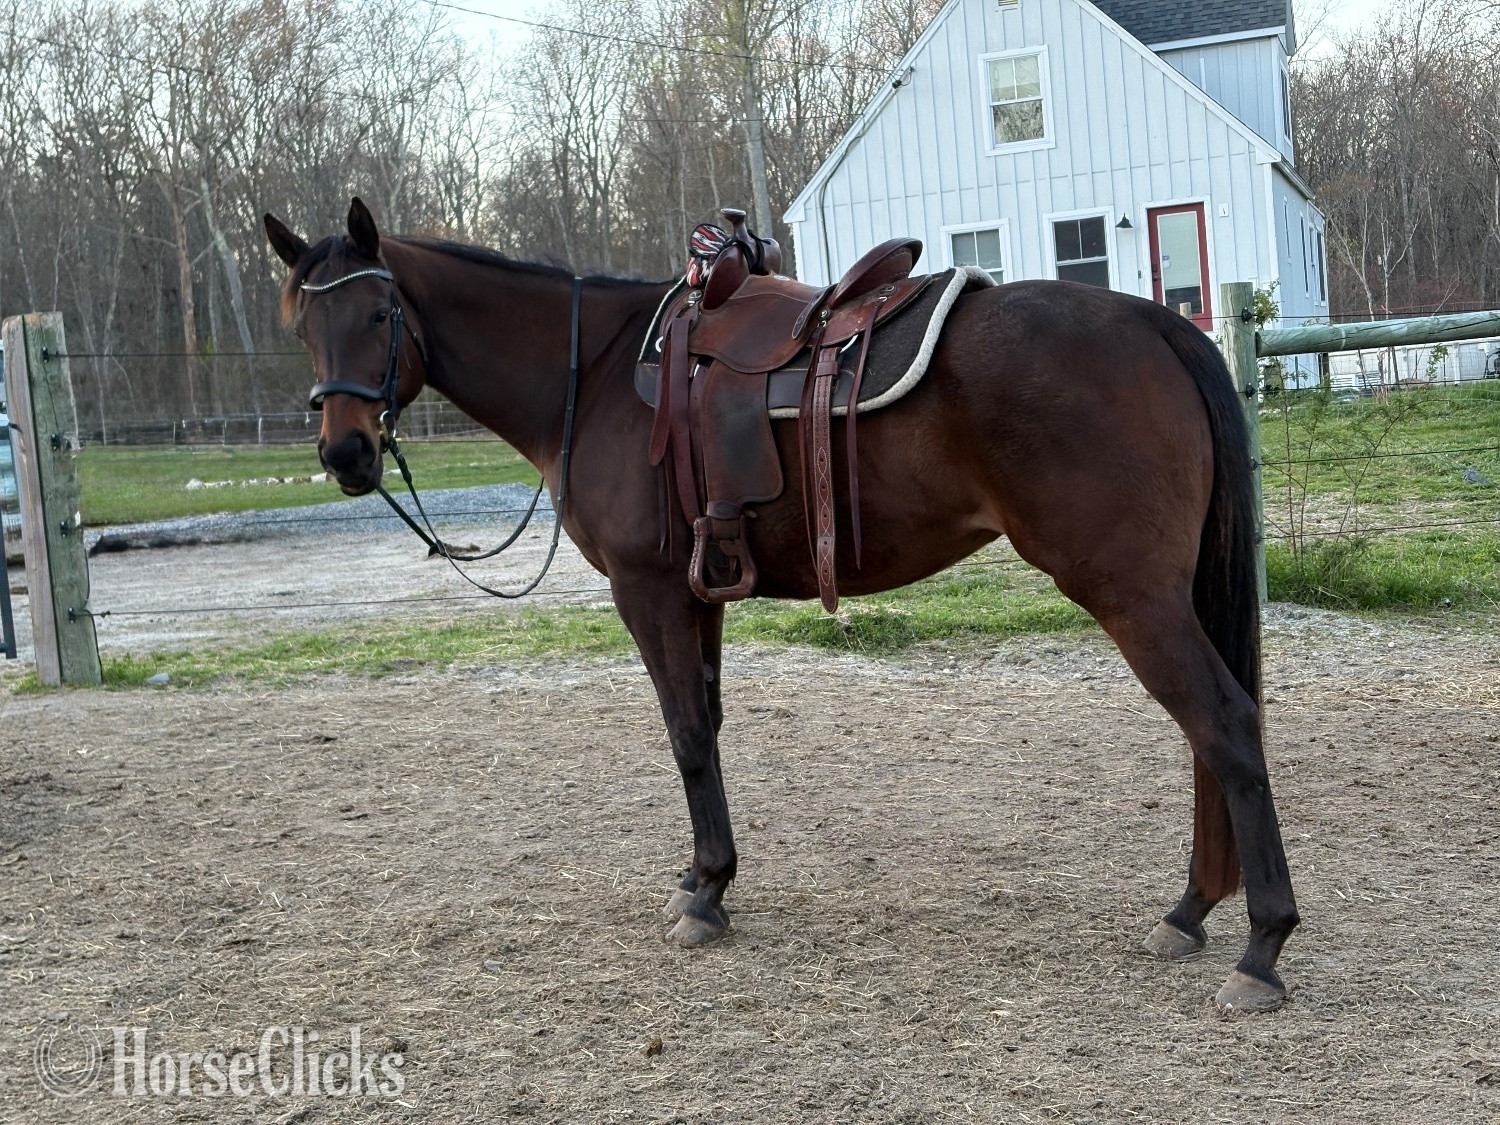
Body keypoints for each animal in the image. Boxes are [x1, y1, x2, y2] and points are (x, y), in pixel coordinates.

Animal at [263, 198, 1299, 1012]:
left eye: (381, 311)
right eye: (302, 324)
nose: (345, 452)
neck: (592, 376)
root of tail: (1153, 324)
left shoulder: (647, 590)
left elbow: (685, 733)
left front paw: (706, 895)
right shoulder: (699, 591)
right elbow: (709, 724)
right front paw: (700, 873)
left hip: (1131, 593)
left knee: (1224, 723)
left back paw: (1261, 945)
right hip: (1164, 594)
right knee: (1210, 731)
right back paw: (1191, 911)